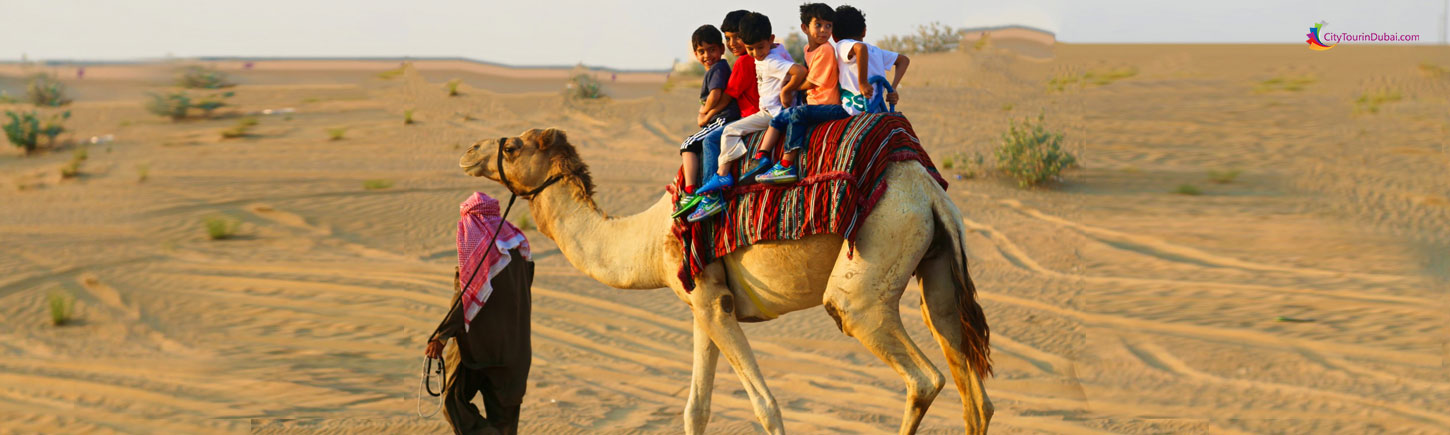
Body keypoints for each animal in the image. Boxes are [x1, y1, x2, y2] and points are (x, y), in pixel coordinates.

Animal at [459, 128, 993, 434]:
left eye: (511, 145)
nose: (468, 152)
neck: (650, 238)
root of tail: (929, 193)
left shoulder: (712, 302)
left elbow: (766, 406)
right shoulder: (705, 303)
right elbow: (696, 408)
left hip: (868, 271)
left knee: (921, 376)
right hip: (937, 271)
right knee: (975, 395)